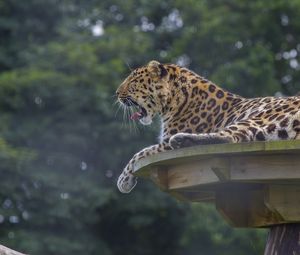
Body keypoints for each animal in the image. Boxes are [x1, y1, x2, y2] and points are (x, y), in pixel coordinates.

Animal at [116, 59, 300, 193]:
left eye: (133, 80)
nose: (117, 93)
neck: (175, 99)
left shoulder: (164, 143)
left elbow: (141, 153)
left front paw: (123, 180)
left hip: (261, 117)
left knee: (230, 138)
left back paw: (180, 140)